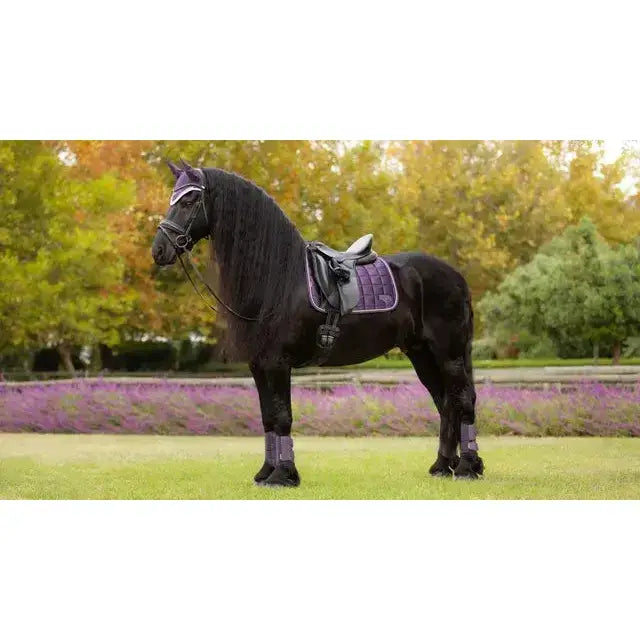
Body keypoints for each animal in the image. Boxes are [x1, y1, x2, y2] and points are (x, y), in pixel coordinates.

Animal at [151, 160, 484, 487]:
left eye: (189, 200)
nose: (159, 250)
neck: (280, 278)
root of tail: (456, 276)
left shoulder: (277, 362)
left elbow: (282, 416)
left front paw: (283, 475)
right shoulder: (259, 364)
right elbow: (268, 417)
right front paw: (266, 472)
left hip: (449, 354)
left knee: (462, 400)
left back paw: (467, 468)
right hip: (421, 354)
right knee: (445, 403)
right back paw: (442, 466)